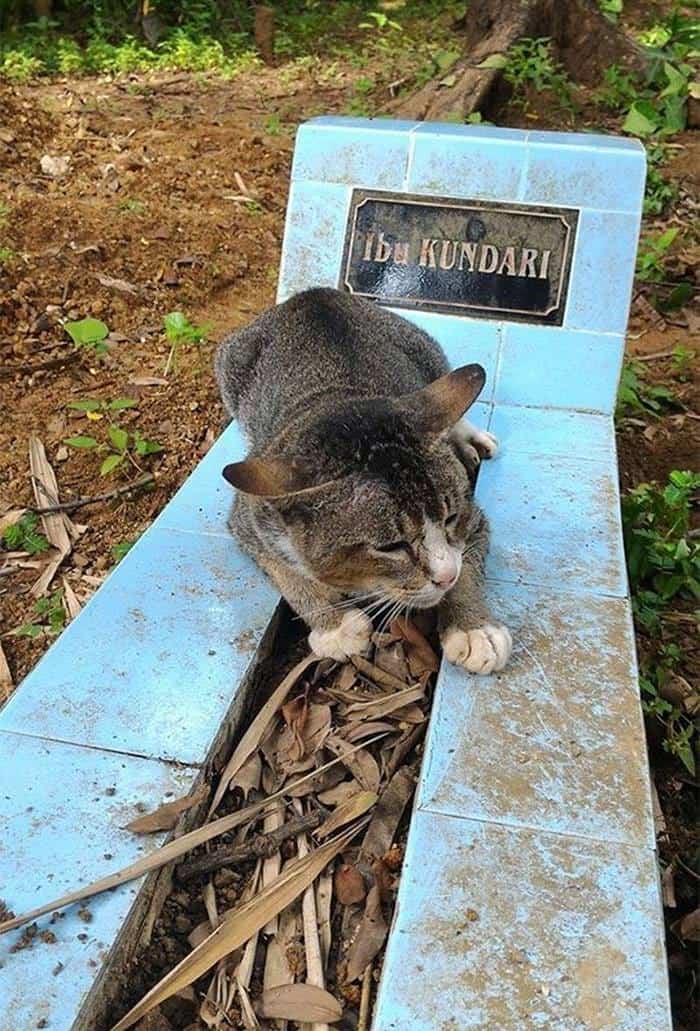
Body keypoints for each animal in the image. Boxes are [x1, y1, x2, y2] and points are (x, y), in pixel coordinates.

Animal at [216, 288, 511, 676]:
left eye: (450, 518)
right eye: (391, 547)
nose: (444, 576)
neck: (339, 401)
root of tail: (311, 295)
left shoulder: (473, 518)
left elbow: (467, 561)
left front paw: (474, 628)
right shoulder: (250, 517)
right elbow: (285, 572)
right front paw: (334, 625)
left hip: (424, 348)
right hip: (229, 366)